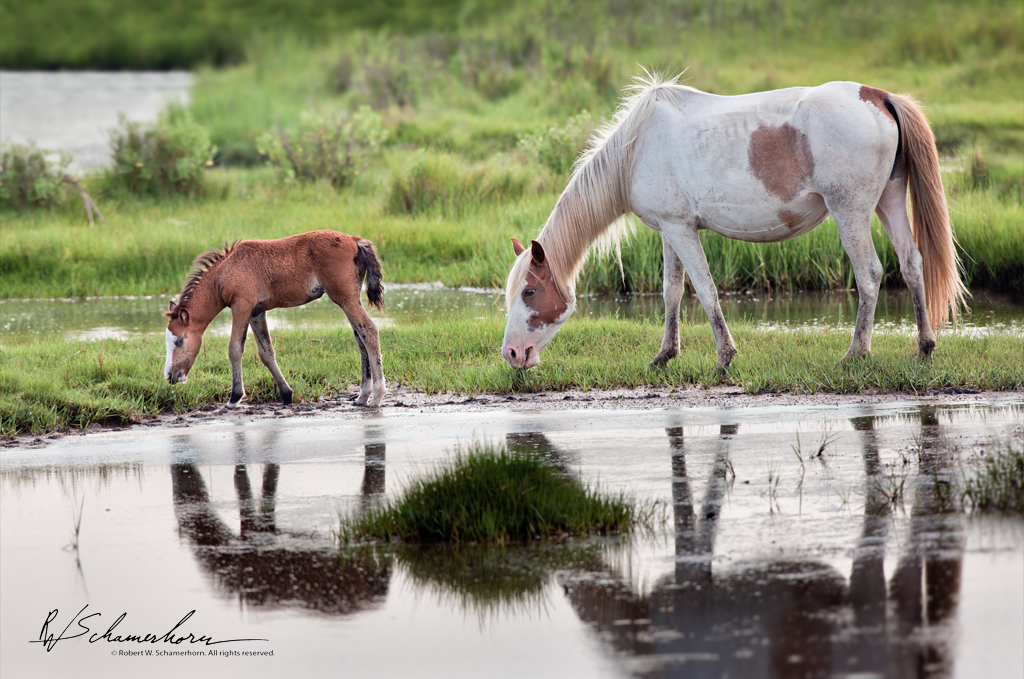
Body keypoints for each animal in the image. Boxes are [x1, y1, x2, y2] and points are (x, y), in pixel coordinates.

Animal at [163, 228, 387, 409]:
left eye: (179, 340)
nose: (170, 376)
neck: (224, 271)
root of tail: (355, 240)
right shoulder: (256, 312)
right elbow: (266, 352)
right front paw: (286, 394)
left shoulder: (241, 306)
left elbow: (235, 349)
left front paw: (234, 398)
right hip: (349, 299)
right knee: (360, 337)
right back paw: (362, 396)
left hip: (344, 297)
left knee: (369, 331)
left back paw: (376, 396)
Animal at [503, 73, 966, 376]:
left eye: (529, 291)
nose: (512, 354)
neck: (635, 149)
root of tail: (879, 96)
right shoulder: (671, 230)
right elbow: (672, 293)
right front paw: (664, 356)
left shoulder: (682, 231)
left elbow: (705, 291)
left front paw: (724, 358)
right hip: (889, 201)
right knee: (911, 265)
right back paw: (925, 349)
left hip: (850, 211)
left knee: (869, 274)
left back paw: (856, 354)